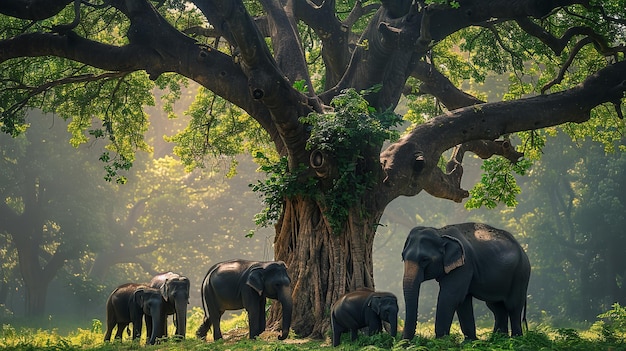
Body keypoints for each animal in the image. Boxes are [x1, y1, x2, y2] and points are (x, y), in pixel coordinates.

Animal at [400, 224, 528, 342]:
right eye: (403, 257)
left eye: (425, 259)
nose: (405, 342)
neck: (440, 233)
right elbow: (463, 301)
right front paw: (469, 342)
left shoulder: (465, 264)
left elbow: (450, 297)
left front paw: (441, 341)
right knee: (496, 307)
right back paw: (498, 339)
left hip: (520, 273)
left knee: (513, 306)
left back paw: (516, 339)